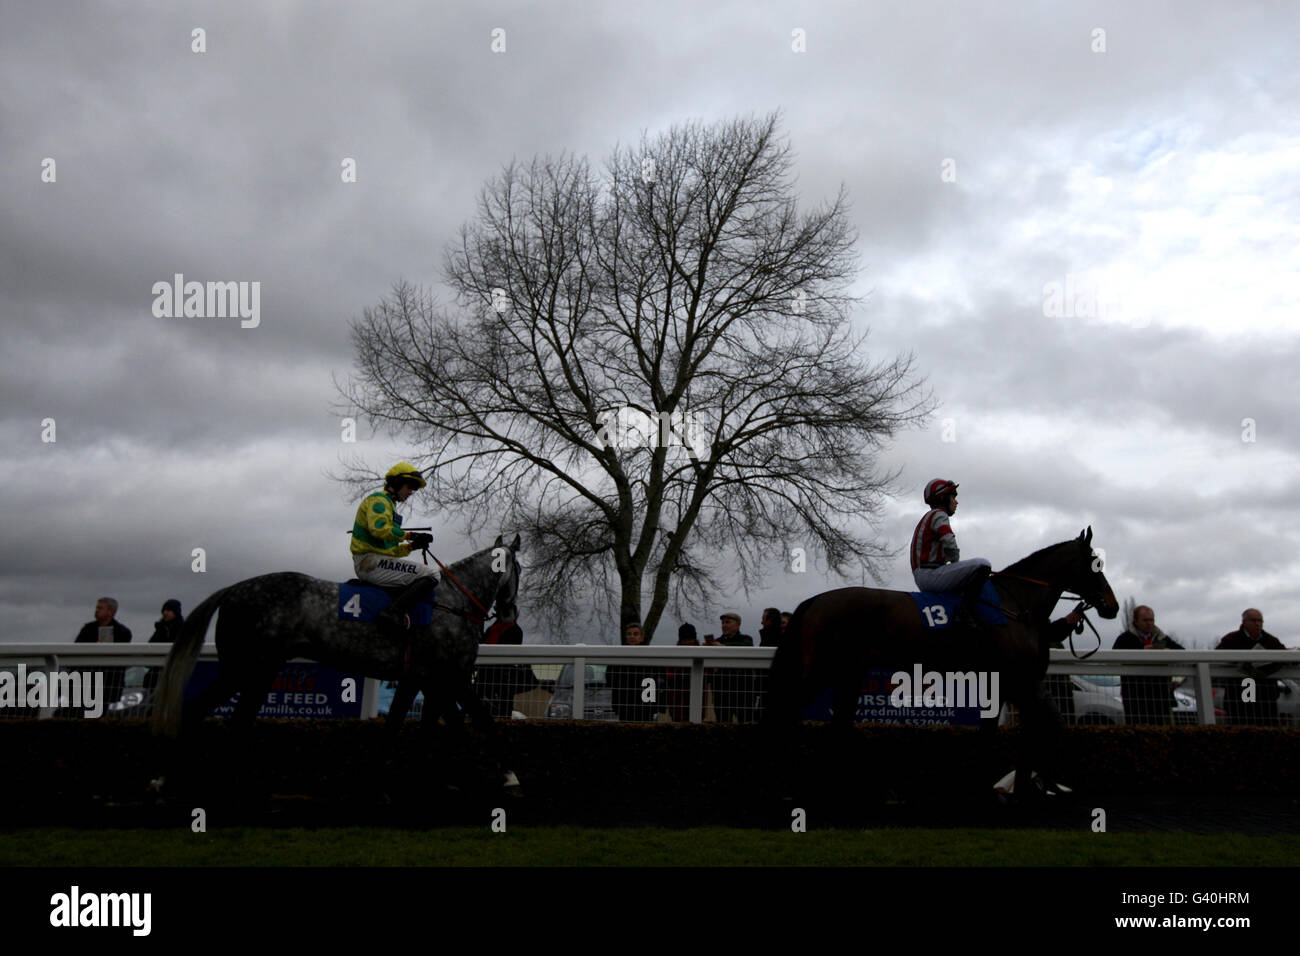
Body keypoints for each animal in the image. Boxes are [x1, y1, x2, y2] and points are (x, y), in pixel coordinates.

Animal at [764, 530, 1123, 801]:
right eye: (1097, 563)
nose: (1113, 605)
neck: (1016, 605)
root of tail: (813, 602)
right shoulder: (1021, 684)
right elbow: (1040, 731)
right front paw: (1031, 786)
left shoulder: (1002, 686)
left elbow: (994, 735)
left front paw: (988, 786)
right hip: (822, 672)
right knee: (785, 712)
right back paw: (786, 781)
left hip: (849, 675)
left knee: (836, 726)